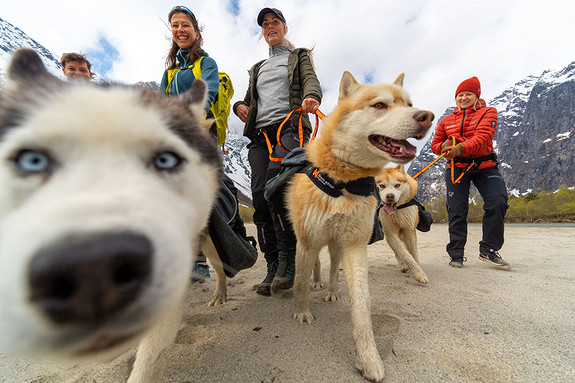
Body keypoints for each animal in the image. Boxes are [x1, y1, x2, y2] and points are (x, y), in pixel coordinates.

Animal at [290, 71, 434, 380]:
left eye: (409, 103)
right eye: (379, 105)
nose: (426, 116)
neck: (343, 182)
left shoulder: (355, 245)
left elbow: (361, 305)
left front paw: (368, 357)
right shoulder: (306, 242)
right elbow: (300, 282)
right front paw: (301, 310)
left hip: (336, 245)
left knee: (333, 266)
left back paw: (332, 289)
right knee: (316, 265)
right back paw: (318, 282)